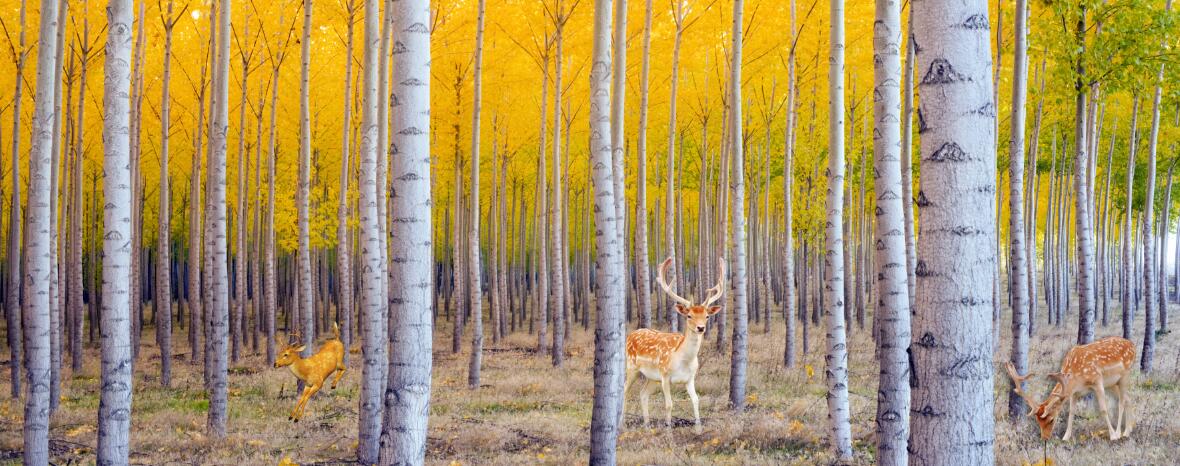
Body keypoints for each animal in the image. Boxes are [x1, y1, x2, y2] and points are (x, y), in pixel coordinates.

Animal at [623, 256, 722, 434]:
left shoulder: (690, 378)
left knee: (643, 394)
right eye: (689, 315)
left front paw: (699, 430)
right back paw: (622, 424)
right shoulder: (665, 376)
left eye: (707, 316)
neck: (683, 361)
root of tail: (631, 334)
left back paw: (647, 426)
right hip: (632, 367)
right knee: (625, 389)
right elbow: (669, 404)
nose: (701, 328)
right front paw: (668, 431)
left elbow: (696, 400)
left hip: (651, 377)